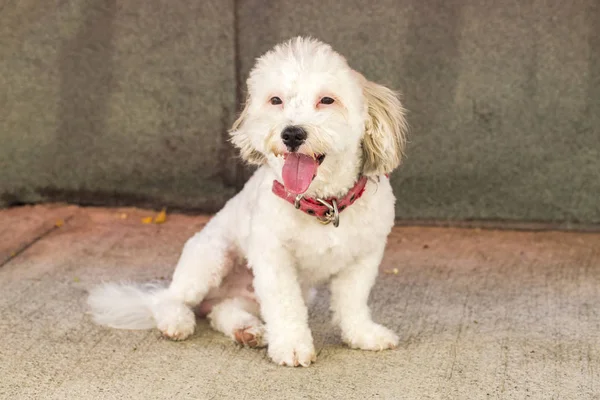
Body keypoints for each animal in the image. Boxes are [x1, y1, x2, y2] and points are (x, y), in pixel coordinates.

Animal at [88, 36, 408, 366]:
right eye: (276, 100)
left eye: (327, 100)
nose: (292, 134)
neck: (321, 203)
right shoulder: (274, 259)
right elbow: (285, 306)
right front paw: (292, 346)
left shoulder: (364, 257)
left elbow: (352, 302)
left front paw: (362, 334)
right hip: (211, 256)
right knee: (169, 298)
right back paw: (176, 321)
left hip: (254, 292)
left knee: (221, 310)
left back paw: (246, 329)